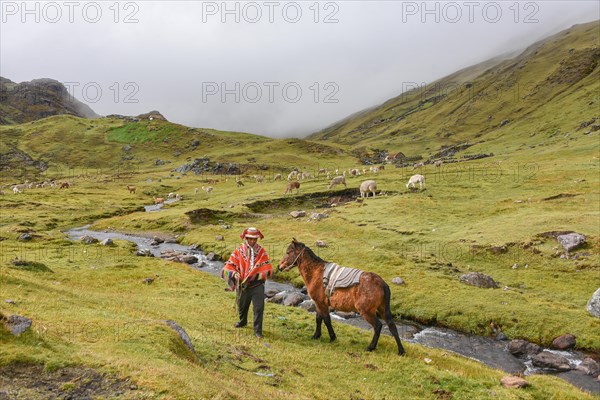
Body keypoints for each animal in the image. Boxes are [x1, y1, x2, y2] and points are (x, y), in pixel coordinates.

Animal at [278, 239, 406, 354]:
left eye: (288, 252)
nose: (279, 266)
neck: (315, 272)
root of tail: (382, 283)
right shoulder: (319, 303)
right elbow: (319, 319)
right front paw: (316, 335)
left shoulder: (321, 303)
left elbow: (326, 320)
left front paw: (332, 337)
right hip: (383, 308)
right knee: (392, 326)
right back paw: (401, 351)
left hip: (366, 310)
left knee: (378, 326)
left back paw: (371, 347)